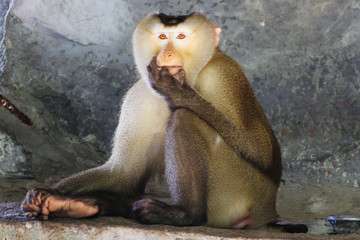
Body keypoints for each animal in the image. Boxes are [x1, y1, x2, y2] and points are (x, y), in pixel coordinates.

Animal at [21, 11, 306, 232]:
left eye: (180, 37)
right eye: (161, 37)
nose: (166, 55)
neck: (192, 76)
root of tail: (268, 212)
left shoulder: (224, 76)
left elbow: (262, 152)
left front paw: (178, 94)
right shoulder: (139, 96)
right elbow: (124, 173)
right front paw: (51, 193)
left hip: (239, 191)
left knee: (185, 118)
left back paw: (186, 214)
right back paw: (85, 205)